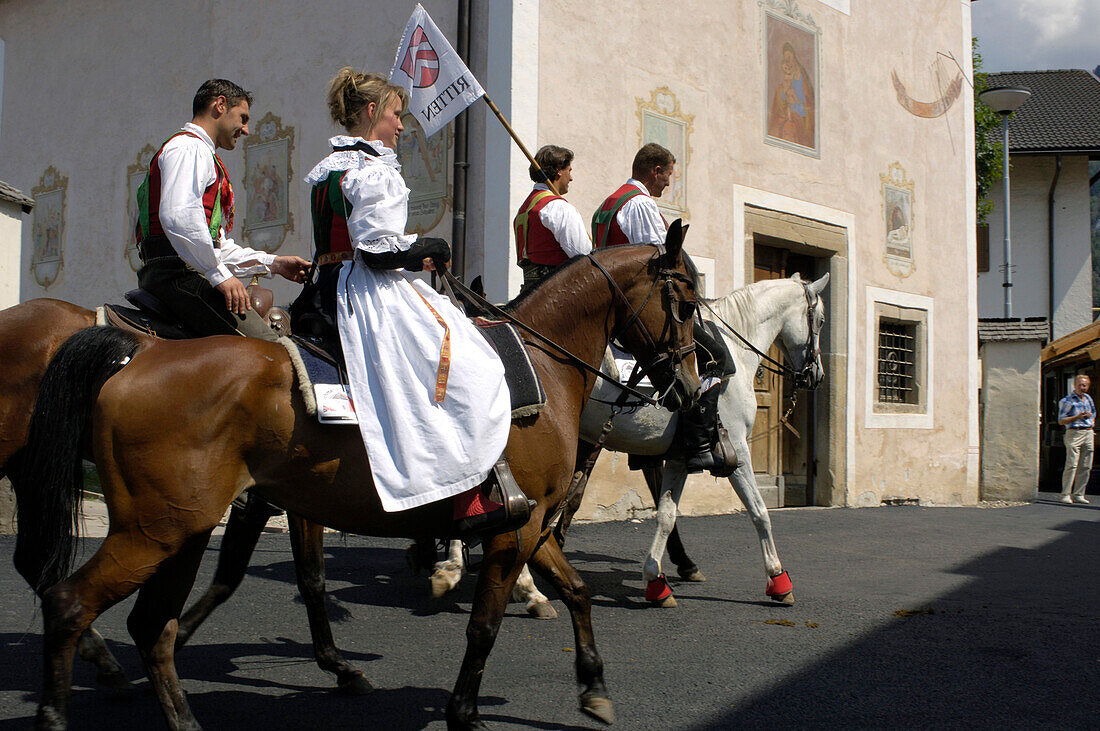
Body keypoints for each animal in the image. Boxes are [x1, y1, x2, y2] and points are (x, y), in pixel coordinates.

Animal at [17, 238, 699, 725]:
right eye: (688, 302)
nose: (692, 386)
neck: (542, 367)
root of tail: (135, 358)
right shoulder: (518, 527)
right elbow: (484, 624)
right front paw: (462, 711)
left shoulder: (530, 522)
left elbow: (577, 591)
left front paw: (594, 685)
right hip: (152, 531)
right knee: (71, 602)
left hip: (178, 531)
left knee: (148, 627)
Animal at [424, 270, 827, 611]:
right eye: (821, 320)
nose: (816, 375)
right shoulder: (736, 450)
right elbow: (759, 513)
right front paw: (778, 580)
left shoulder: (679, 457)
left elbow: (666, 514)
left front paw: (657, 581)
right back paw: (520, 586)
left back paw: (458, 568)